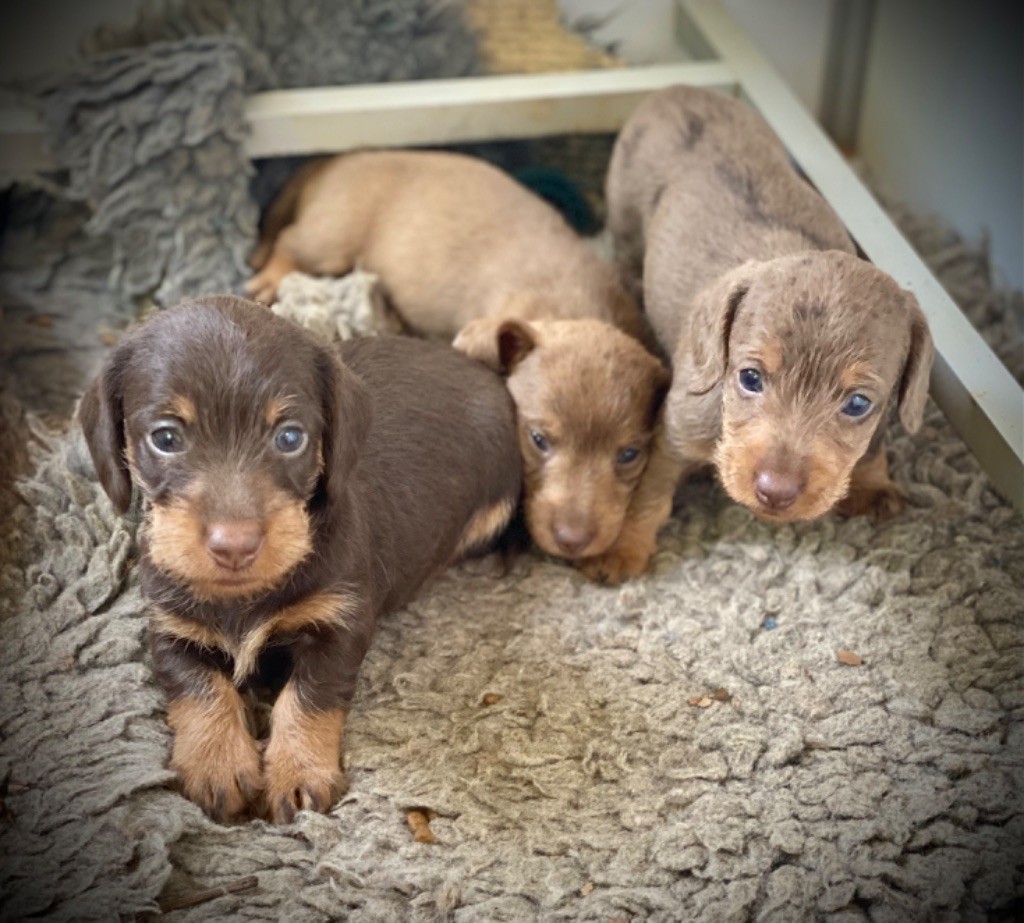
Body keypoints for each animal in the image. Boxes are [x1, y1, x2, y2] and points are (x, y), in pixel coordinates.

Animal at [77, 299, 520, 823]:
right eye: (165, 438)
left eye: (290, 438)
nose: (234, 545)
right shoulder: (169, 625)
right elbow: (198, 685)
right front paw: (216, 762)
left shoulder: (342, 622)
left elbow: (309, 695)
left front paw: (298, 771)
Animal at [606, 84, 937, 561]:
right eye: (750, 378)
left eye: (857, 403)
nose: (775, 492)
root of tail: (678, 89)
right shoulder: (676, 432)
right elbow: (648, 495)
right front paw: (619, 552)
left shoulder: (879, 412)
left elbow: (872, 445)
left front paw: (873, 485)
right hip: (626, 219)